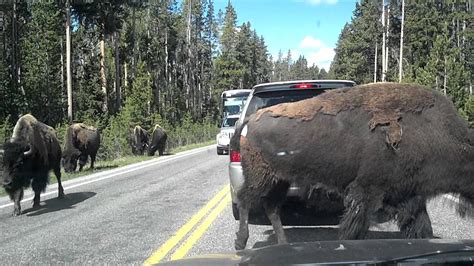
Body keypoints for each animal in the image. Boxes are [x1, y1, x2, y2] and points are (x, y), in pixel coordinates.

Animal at [234, 82, 474, 249]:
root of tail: (251, 119)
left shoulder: (409, 196)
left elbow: (422, 229)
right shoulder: (366, 191)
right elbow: (355, 229)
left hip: (279, 179)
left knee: (271, 207)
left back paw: (284, 243)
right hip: (260, 176)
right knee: (245, 200)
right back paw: (241, 243)